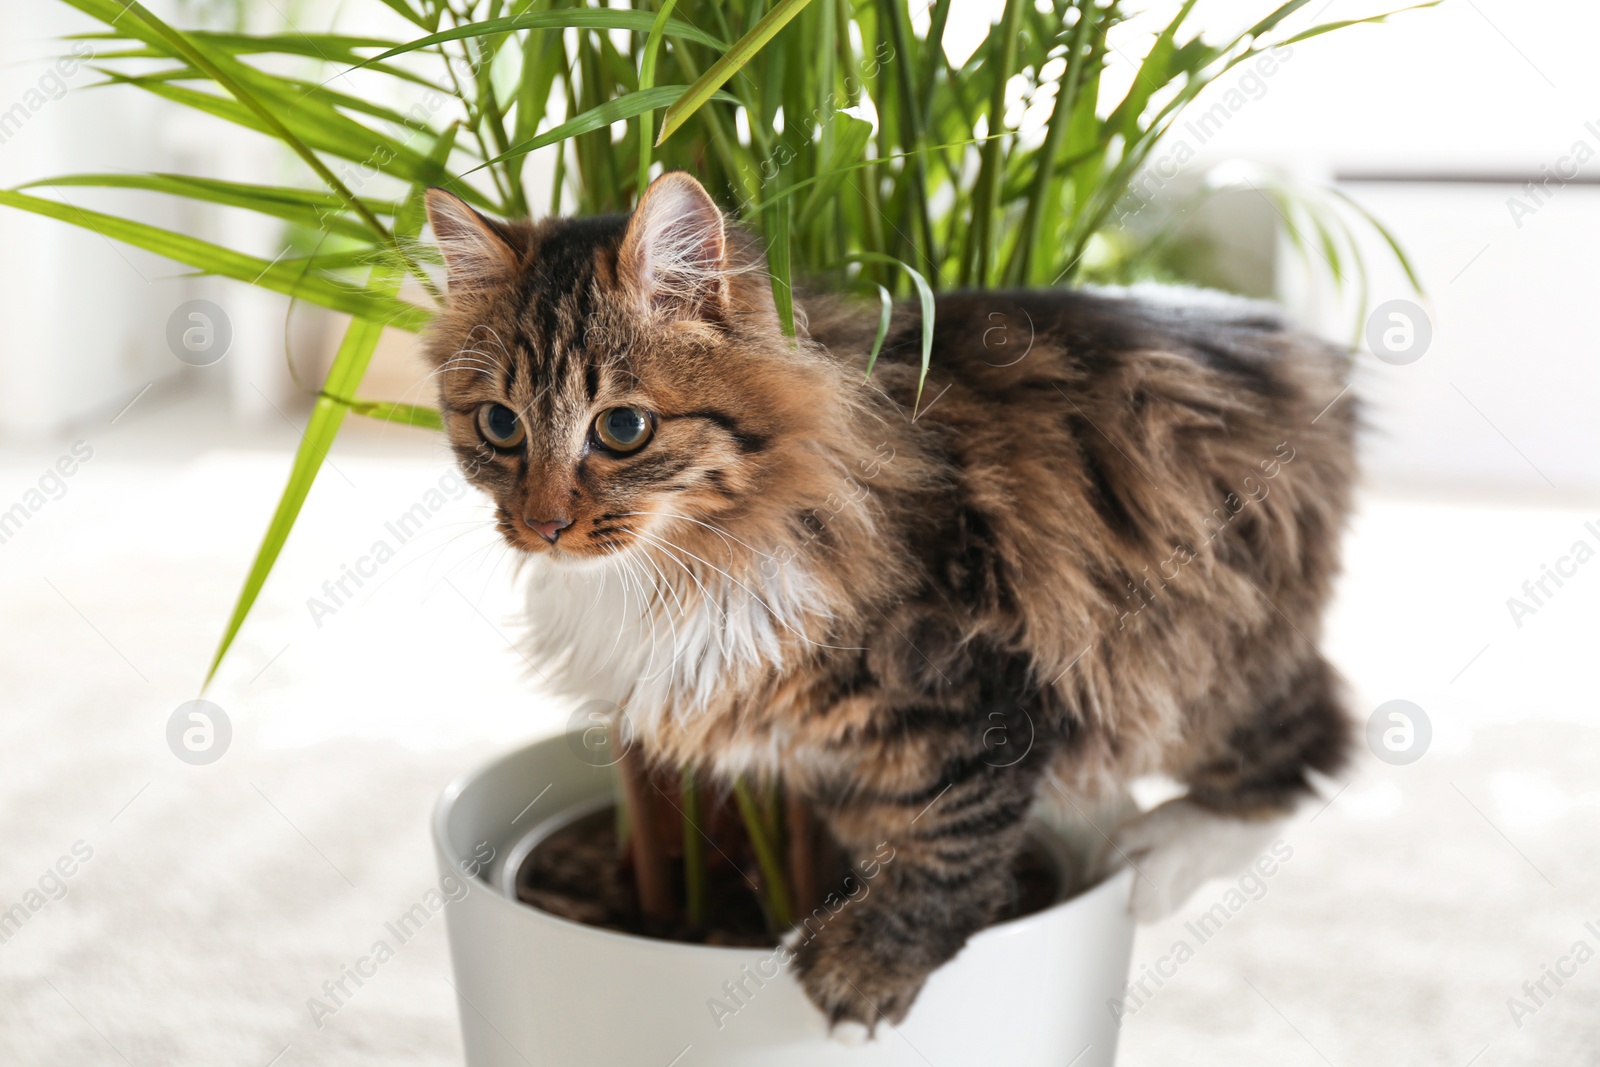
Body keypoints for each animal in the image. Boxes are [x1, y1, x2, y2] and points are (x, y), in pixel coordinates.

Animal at [422, 173, 1350, 1036]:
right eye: (500, 424)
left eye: (622, 429)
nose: (543, 526)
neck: (686, 558)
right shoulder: (830, 739)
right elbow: (891, 833)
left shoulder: (973, 679)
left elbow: (949, 843)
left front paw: (864, 965)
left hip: (1196, 648)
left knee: (1315, 733)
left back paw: (1156, 858)